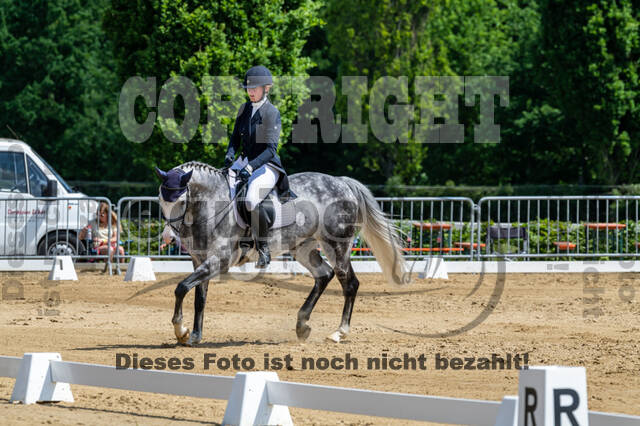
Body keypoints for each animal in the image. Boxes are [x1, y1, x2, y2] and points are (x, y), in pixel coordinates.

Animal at [156, 161, 408, 346]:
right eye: (160, 200)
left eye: (181, 201)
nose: (169, 238)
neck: (211, 205)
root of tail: (342, 182)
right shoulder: (200, 259)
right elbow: (198, 297)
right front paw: (193, 335)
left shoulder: (221, 260)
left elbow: (181, 288)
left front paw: (180, 330)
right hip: (303, 247)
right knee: (323, 275)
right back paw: (302, 326)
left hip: (336, 246)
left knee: (349, 283)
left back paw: (339, 333)